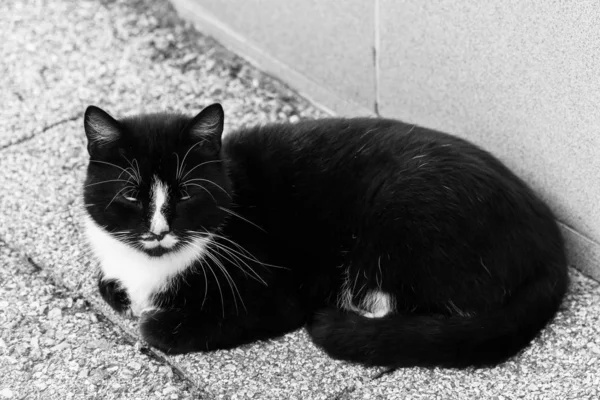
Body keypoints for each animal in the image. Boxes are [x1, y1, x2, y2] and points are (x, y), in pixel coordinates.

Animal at [83, 104, 568, 368]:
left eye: (186, 193)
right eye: (131, 193)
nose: (158, 231)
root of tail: (552, 247)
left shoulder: (276, 292)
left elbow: (161, 327)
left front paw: (156, 321)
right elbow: (107, 283)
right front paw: (121, 292)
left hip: (402, 215)